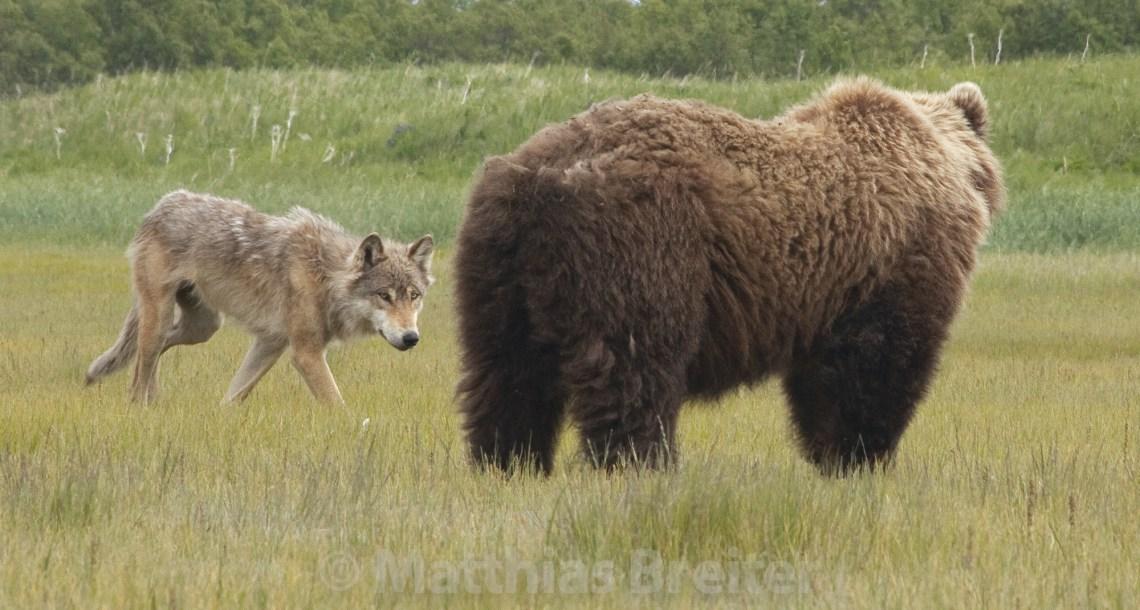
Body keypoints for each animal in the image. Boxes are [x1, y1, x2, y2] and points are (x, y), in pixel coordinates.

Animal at [454, 78, 1003, 475]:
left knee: (505, 371)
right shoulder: (891, 268)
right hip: (643, 241)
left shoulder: (824, 292)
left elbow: (820, 381)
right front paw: (859, 457)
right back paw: (644, 463)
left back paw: (509, 462)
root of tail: (539, 176)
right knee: (636, 363)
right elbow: (877, 367)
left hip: (497, 265)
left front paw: (831, 455)